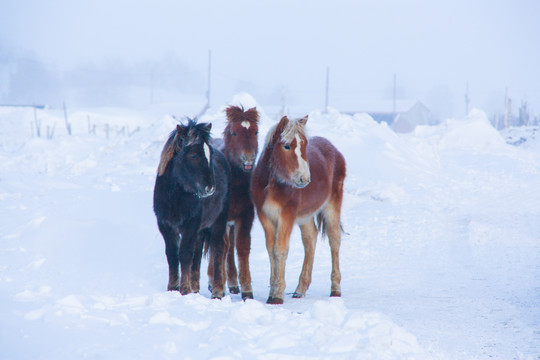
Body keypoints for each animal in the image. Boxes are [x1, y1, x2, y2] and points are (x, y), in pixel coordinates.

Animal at [152, 119, 230, 300]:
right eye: (193, 155)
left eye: (210, 154)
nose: (210, 188)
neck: (175, 197)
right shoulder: (165, 225)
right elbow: (173, 255)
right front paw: (173, 288)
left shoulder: (190, 225)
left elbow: (185, 254)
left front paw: (184, 289)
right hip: (200, 230)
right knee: (198, 254)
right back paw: (195, 288)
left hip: (218, 221)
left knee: (219, 249)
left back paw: (217, 291)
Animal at [208, 105, 258, 300]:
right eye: (234, 132)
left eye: (256, 132)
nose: (248, 159)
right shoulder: (221, 219)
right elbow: (219, 248)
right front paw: (218, 288)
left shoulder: (246, 216)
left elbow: (242, 248)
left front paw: (247, 290)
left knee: (229, 248)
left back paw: (232, 283)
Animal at [250, 115, 346, 304]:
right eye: (286, 146)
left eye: (304, 145)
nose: (304, 179)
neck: (272, 184)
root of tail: (334, 149)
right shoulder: (265, 217)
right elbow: (270, 250)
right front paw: (272, 292)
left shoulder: (286, 216)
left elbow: (280, 250)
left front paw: (277, 295)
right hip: (305, 215)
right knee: (310, 239)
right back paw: (300, 289)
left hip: (332, 206)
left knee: (334, 240)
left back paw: (336, 289)